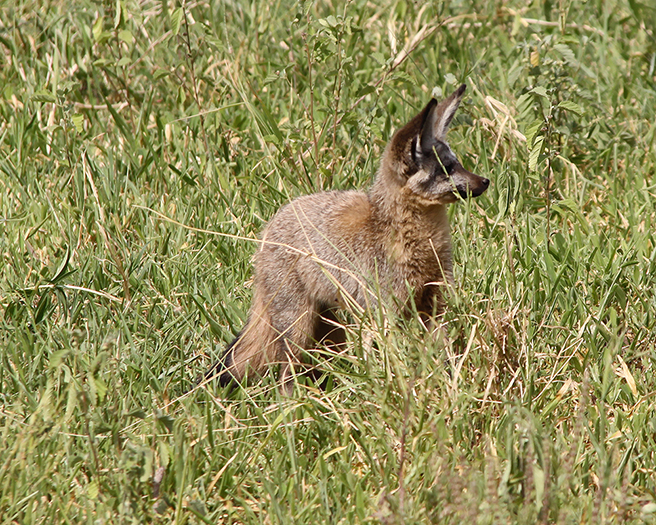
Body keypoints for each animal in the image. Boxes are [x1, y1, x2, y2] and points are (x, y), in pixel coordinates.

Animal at [204, 84, 486, 390]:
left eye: (458, 164)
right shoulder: (385, 312)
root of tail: (269, 228)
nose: (485, 181)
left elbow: (440, 356)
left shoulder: (433, 304)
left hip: (330, 329)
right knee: (285, 375)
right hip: (299, 328)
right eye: (447, 169)